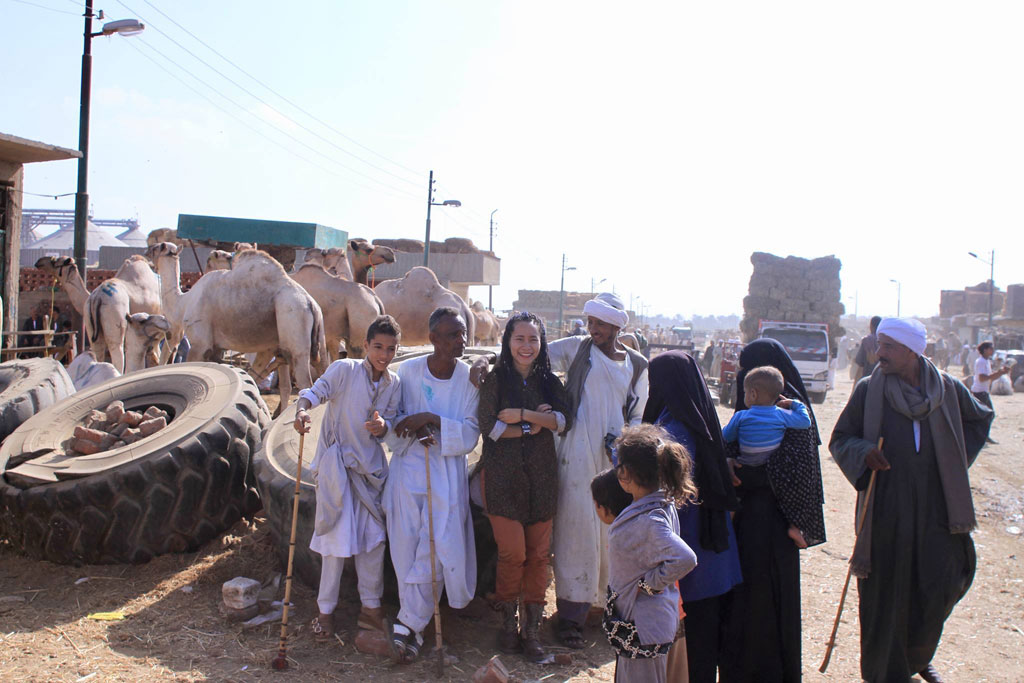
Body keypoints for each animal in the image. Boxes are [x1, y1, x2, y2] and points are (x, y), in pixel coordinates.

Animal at [180, 246, 327, 413]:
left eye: (209, 262)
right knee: (322, 368)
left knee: (305, 383)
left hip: (295, 330)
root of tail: (310, 304)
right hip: (319, 338)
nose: (202, 272)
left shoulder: (200, 343)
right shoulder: (216, 347)